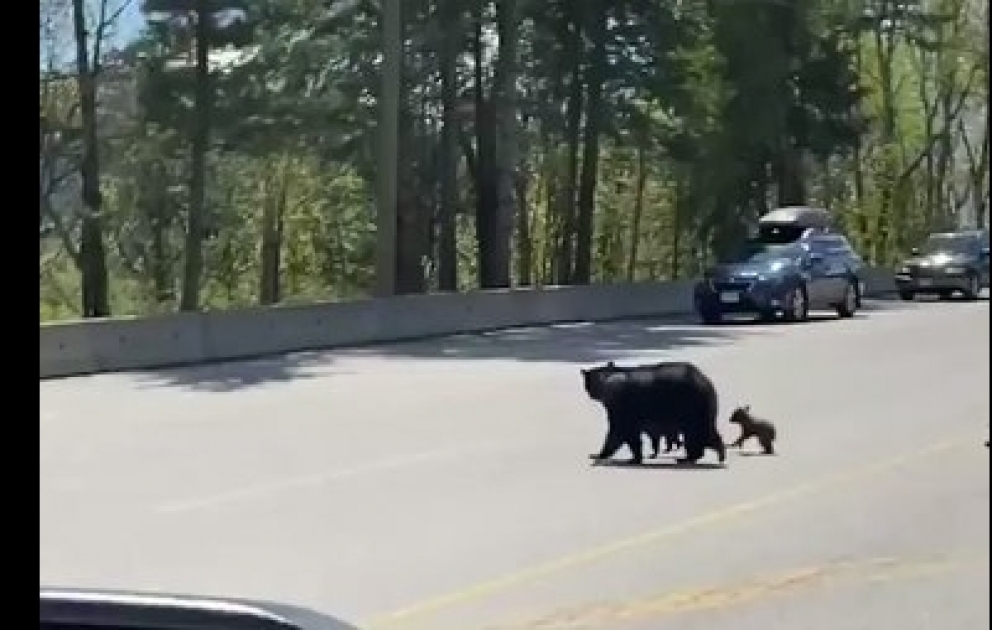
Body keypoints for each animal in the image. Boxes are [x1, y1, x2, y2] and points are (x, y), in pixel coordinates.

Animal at [581, 360, 726, 465]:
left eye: (587, 385)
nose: (589, 394)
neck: (606, 381)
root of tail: (705, 380)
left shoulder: (620, 404)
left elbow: (619, 431)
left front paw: (600, 455)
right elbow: (632, 435)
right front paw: (635, 457)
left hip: (692, 406)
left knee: (696, 433)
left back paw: (693, 457)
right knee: (704, 432)